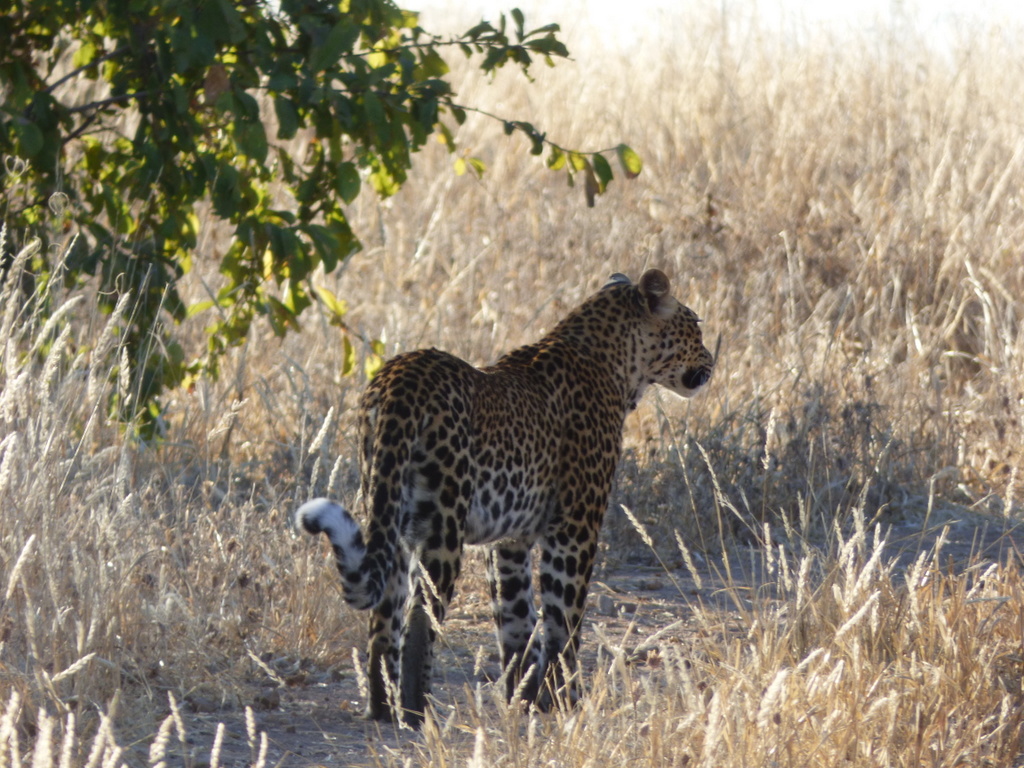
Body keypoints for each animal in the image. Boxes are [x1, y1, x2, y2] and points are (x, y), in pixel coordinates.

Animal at [296, 268, 712, 729]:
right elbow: (564, 620)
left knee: (385, 613)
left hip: (388, 508)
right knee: (422, 614)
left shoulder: (510, 541)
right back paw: (418, 711)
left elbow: (517, 621)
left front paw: (526, 697)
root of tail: (398, 380)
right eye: (695, 326)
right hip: (443, 522)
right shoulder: (575, 528)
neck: (616, 363)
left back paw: (383, 708)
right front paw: (567, 698)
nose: (711, 361)